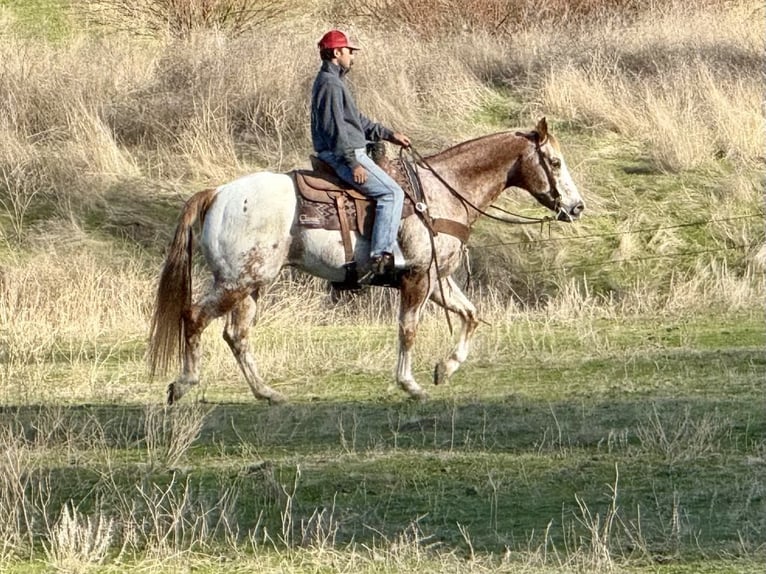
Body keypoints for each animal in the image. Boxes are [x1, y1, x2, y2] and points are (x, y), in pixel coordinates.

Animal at [148, 117, 584, 404]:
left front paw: (445, 368)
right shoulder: (418, 278)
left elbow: (471, 315)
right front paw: (410, 384)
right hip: (236, 283)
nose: (577, 207)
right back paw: (183, 384)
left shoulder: (437, 278)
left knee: (236, 336)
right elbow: (408, 329)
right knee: (195, 317)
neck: (441, 193)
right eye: (555, 162)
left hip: (250, 286)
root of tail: (218, 194)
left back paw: (268, 393)